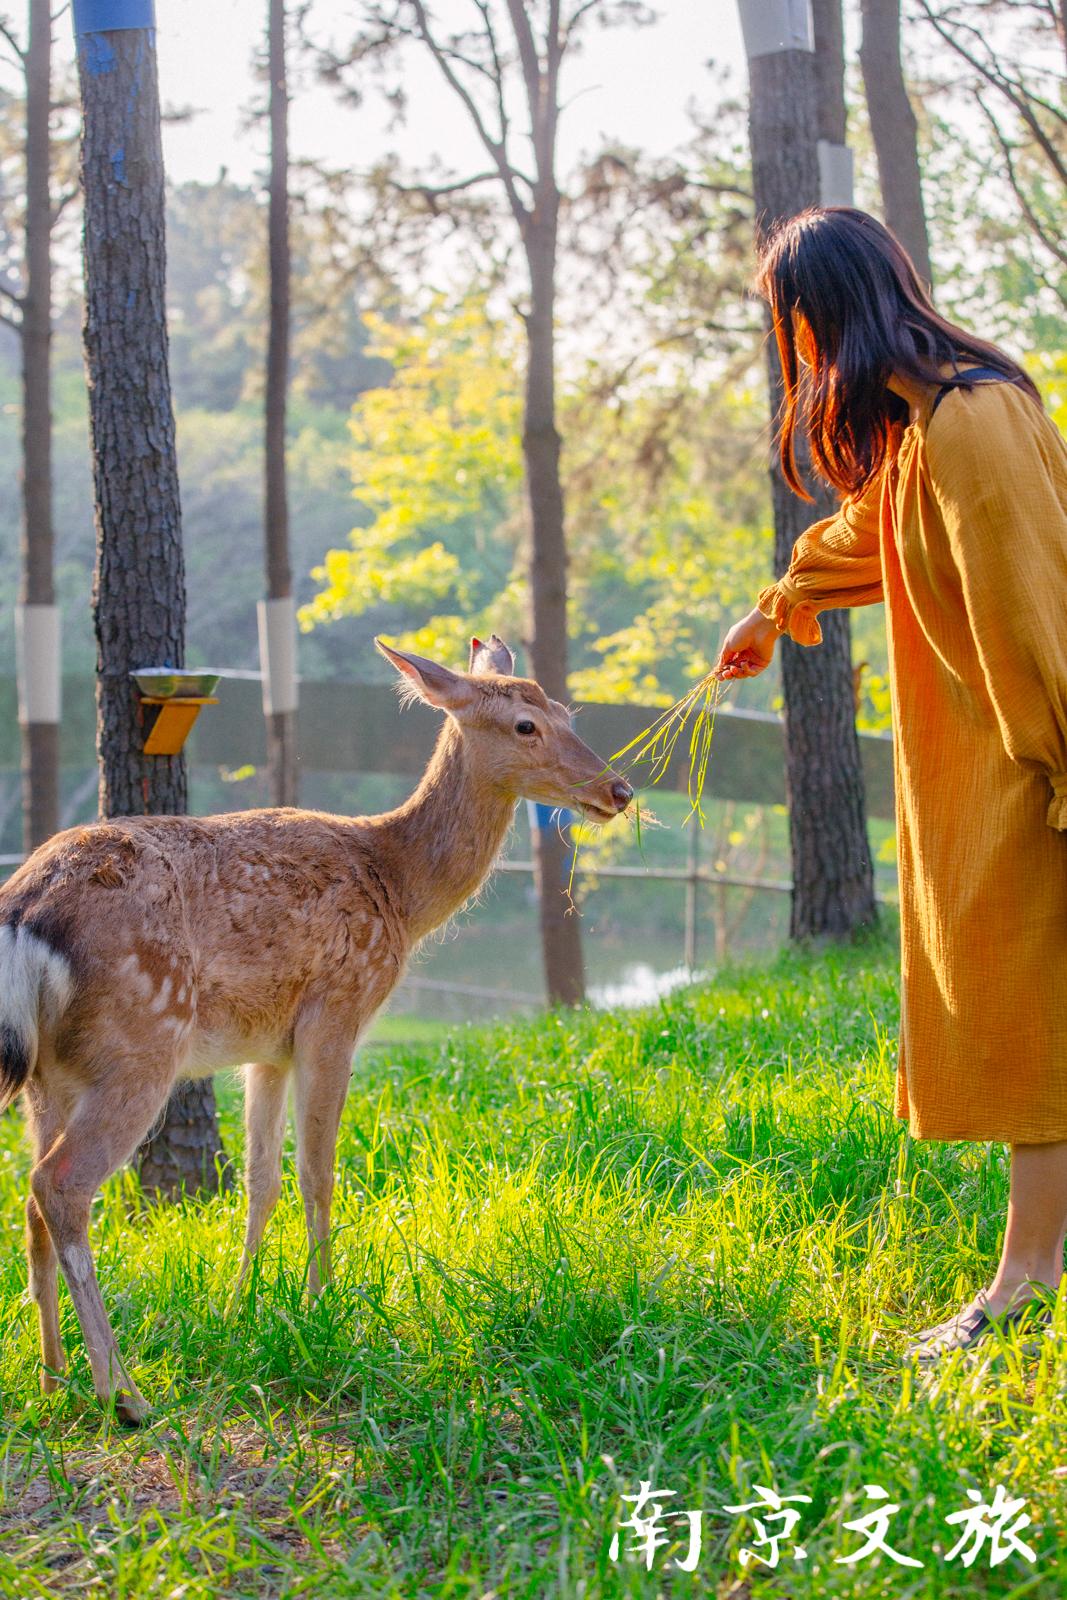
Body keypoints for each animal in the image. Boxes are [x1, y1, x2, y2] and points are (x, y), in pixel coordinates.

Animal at [0, 630, 633, 1420]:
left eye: (567, 711)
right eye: (526, 726)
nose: (618, 790)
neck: (399, 888)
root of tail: (25, 911)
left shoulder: (265, 1046)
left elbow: (261, 1180)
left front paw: (239, 1307)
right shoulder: (337, 1008)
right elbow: (320, 1172)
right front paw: (320, 1306)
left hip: (49, 1072)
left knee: (30, 1196)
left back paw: (53, 1377)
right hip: (140, 1042)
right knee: (59, 1184)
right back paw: (125, 1395)